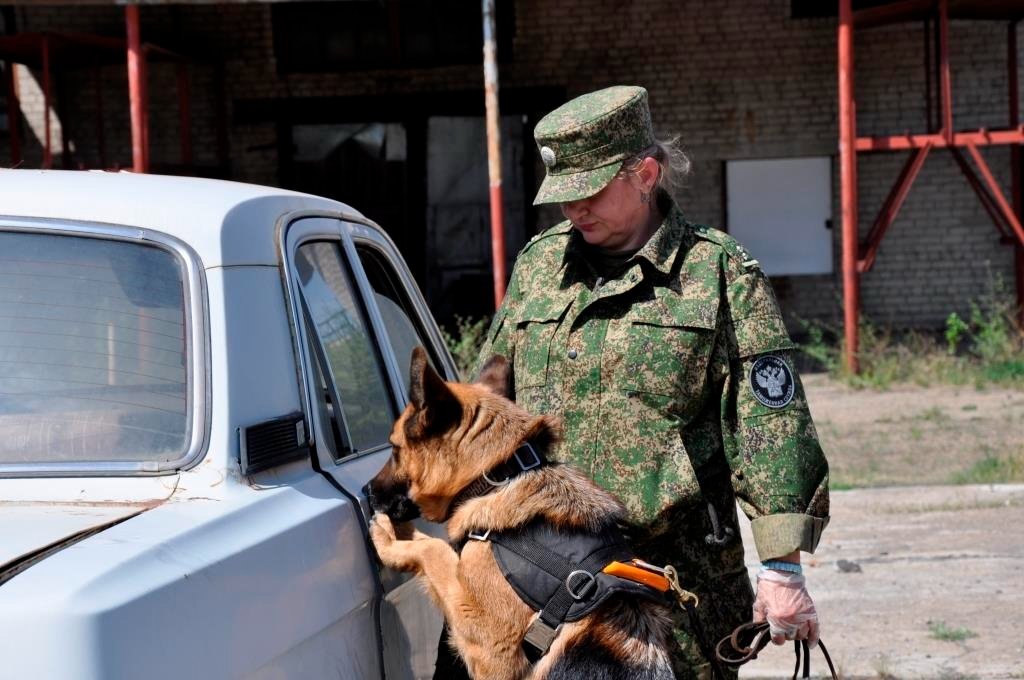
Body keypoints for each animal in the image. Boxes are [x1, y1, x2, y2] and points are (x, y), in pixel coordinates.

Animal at [364, 348, 675, 680]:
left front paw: (386, 538)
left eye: (394, 450)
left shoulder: (490, 653)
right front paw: (396, 532)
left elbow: (434, 549)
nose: (365, 492)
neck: (500, 474)